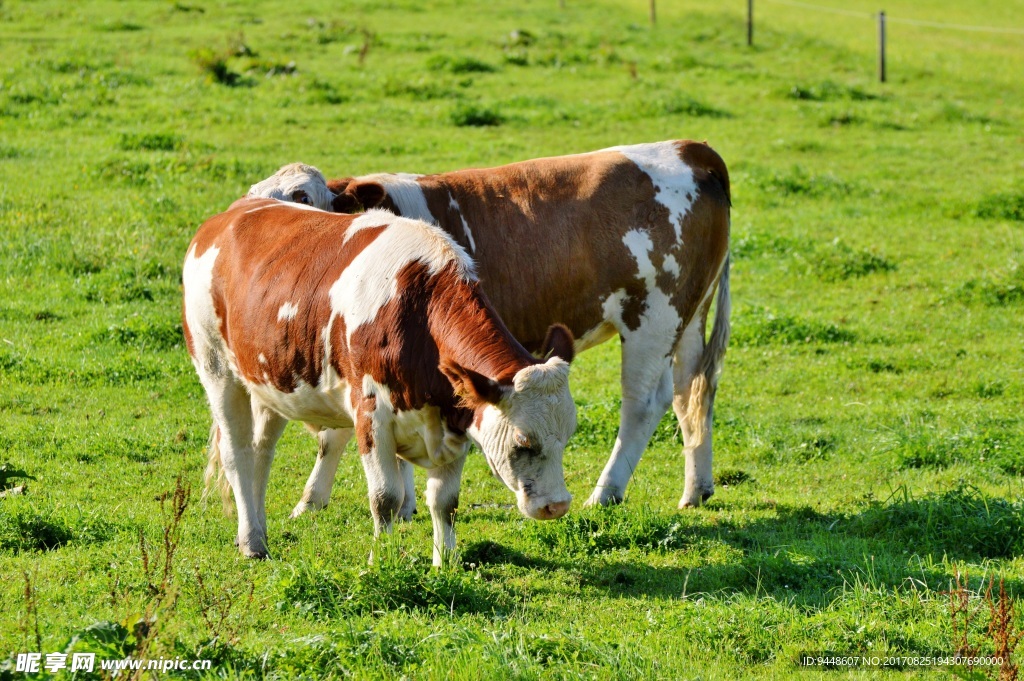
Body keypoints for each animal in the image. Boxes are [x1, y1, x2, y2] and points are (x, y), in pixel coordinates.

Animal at [182, 192, 577, 561]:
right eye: (523, 442)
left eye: (569, 434)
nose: (557, 505)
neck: (418, 309)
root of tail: (231, 214)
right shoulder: (371, 413)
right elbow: (385, 497)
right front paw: (382, 561)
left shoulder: (455, 418)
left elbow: (445, 500)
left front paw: (445, 563)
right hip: (216, 367)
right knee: (237, 453)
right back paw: (252, 542)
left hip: (270, 381)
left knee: (260, 453)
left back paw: (256, 532)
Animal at [264, 140, 729, 512]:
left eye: (303, 196)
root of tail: (690, 149)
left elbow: (342, 433)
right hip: (688, 318)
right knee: (693, 391)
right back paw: (696, 489)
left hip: (653, 317)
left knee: (644, 402)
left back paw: (605, 493)